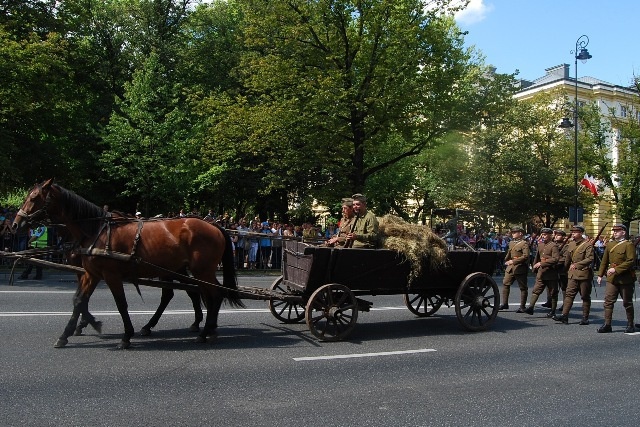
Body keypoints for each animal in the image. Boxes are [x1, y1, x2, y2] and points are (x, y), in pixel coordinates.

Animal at [12, 179, 242, 350]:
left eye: (34, 198)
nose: (16, 224)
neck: (96, 230)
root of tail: (214, 226)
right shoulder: (91, 273)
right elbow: (79, 301)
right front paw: (70, 332)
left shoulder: (110, 275)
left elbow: (121, 304)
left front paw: (125, 336)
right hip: (185, 270)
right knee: (196, 294)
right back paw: (203, 328)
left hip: (201, 270)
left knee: (214, 295)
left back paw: (205, 331)